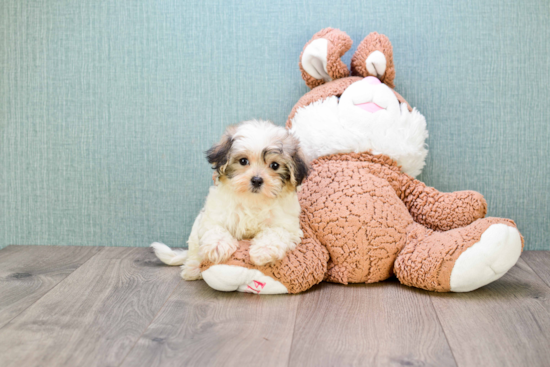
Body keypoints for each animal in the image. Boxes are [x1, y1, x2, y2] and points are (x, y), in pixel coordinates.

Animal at [151, 119, 310, 280]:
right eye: (243, 161)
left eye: (275, 165)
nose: (257, 180)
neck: (253, 199)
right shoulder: (215, 213)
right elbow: (215, 228)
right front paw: (218, 246)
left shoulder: (286, 224)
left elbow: (276, 232)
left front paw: (264, 250)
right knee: (194, 251)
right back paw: (192, 268)